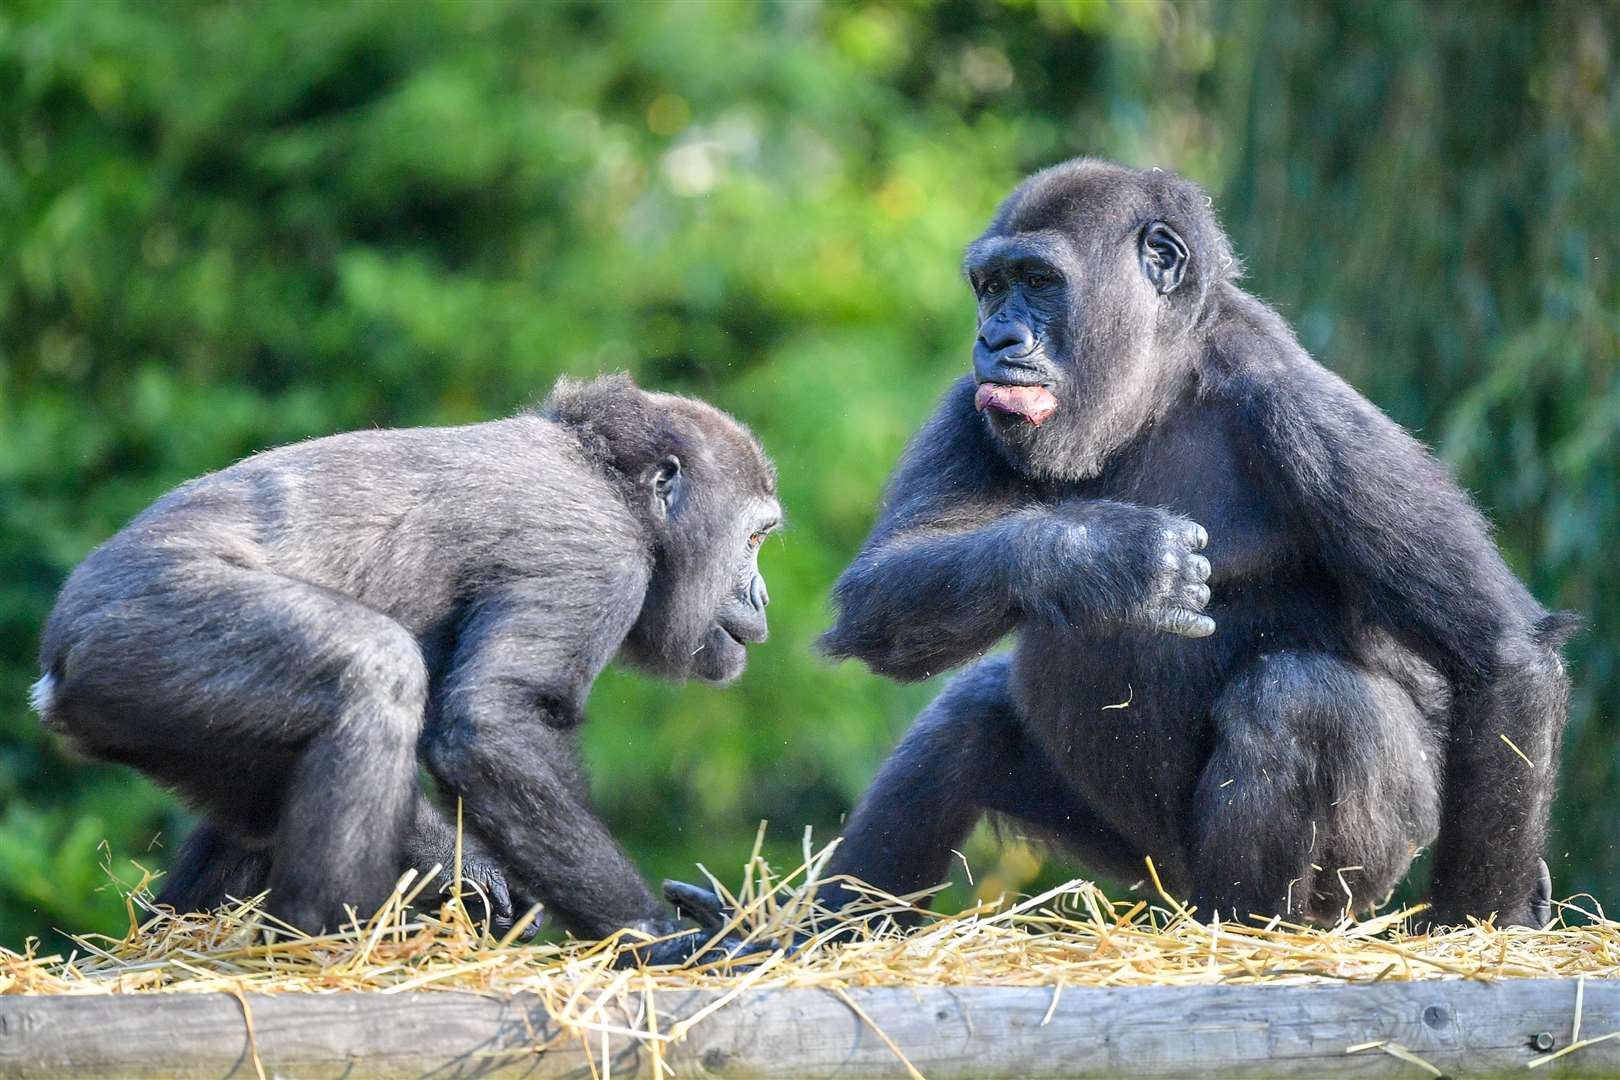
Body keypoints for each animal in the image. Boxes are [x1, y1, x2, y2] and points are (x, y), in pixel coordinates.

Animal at [29, 375, 777, 958]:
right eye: (754, 538)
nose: (761, 594)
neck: (611, 480)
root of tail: (52, 664)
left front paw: (463, 868)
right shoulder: (599, 555)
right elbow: (492, 729)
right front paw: (666, 941)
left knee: (261, 793)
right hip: (140, 635)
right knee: (373, 672)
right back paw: (321, 939)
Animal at [797, 160, 1568, 932]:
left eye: (1039, 281)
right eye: (990, 287)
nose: (996, 339)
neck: (1162, 385)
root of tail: (1180, 900)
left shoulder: (1306, 415)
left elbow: (1499, 652)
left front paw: (1489, 917)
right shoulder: (972, 400)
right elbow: (884, 583)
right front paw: (1102, 557)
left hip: (1341, 882)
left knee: (1300, 700)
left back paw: (1257, 929)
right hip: (1140, 860)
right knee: (960, 727)